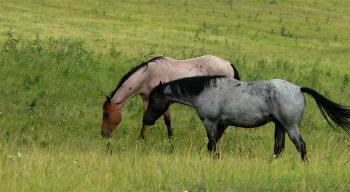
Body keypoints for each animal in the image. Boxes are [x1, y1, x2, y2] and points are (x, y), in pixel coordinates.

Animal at [100, 55, 239, 138]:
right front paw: (141, 138)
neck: (148, 75)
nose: (103, 134)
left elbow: (167, 121)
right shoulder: (147, 100)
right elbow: (144, 119)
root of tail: (228, 63)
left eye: (106, 114)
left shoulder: (163, 101)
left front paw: (171, 138)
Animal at [142, 76, 350, 161]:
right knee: (278, 148)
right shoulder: (222, 124)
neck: (205, 91)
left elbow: (212, 145)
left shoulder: (210, 123)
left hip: (291, 126)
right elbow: (211, 145)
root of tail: (299, 89)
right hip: (280, 126)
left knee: (301, 147)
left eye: (153, 99)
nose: (146, 120)